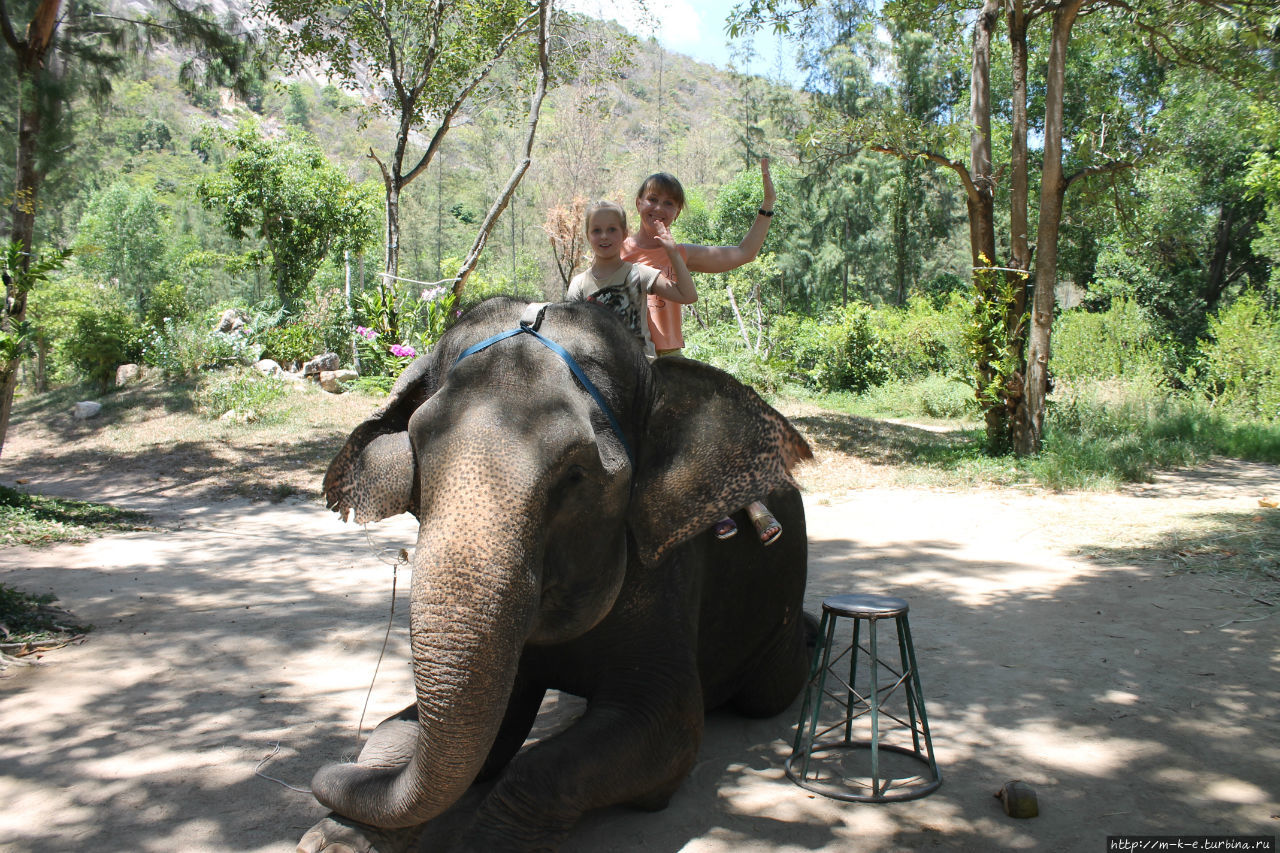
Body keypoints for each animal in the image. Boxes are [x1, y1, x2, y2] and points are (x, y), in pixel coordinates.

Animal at [300, 295, 814, 845]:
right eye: (418, 448)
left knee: (769, 690)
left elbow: (666, 723)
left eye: (575, 475)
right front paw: (332, 838)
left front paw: (484, 842)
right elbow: (431, 730)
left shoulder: (667, 580)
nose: (328, 768)